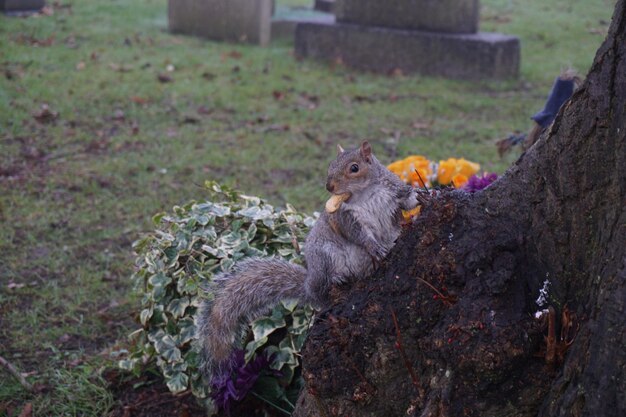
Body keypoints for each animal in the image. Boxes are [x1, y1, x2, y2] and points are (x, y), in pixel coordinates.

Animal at [195, 141, 420, 374]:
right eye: (330, 165)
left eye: (354, 168)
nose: (329, 186)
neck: (364, 192)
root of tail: (310, 286)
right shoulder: (345, 217)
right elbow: (359, 235)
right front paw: (373, 246)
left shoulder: (394, 189)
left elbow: (408, 201)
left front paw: (425, 194)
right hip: (324, 256)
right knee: (325, 288)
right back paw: (336, 278)